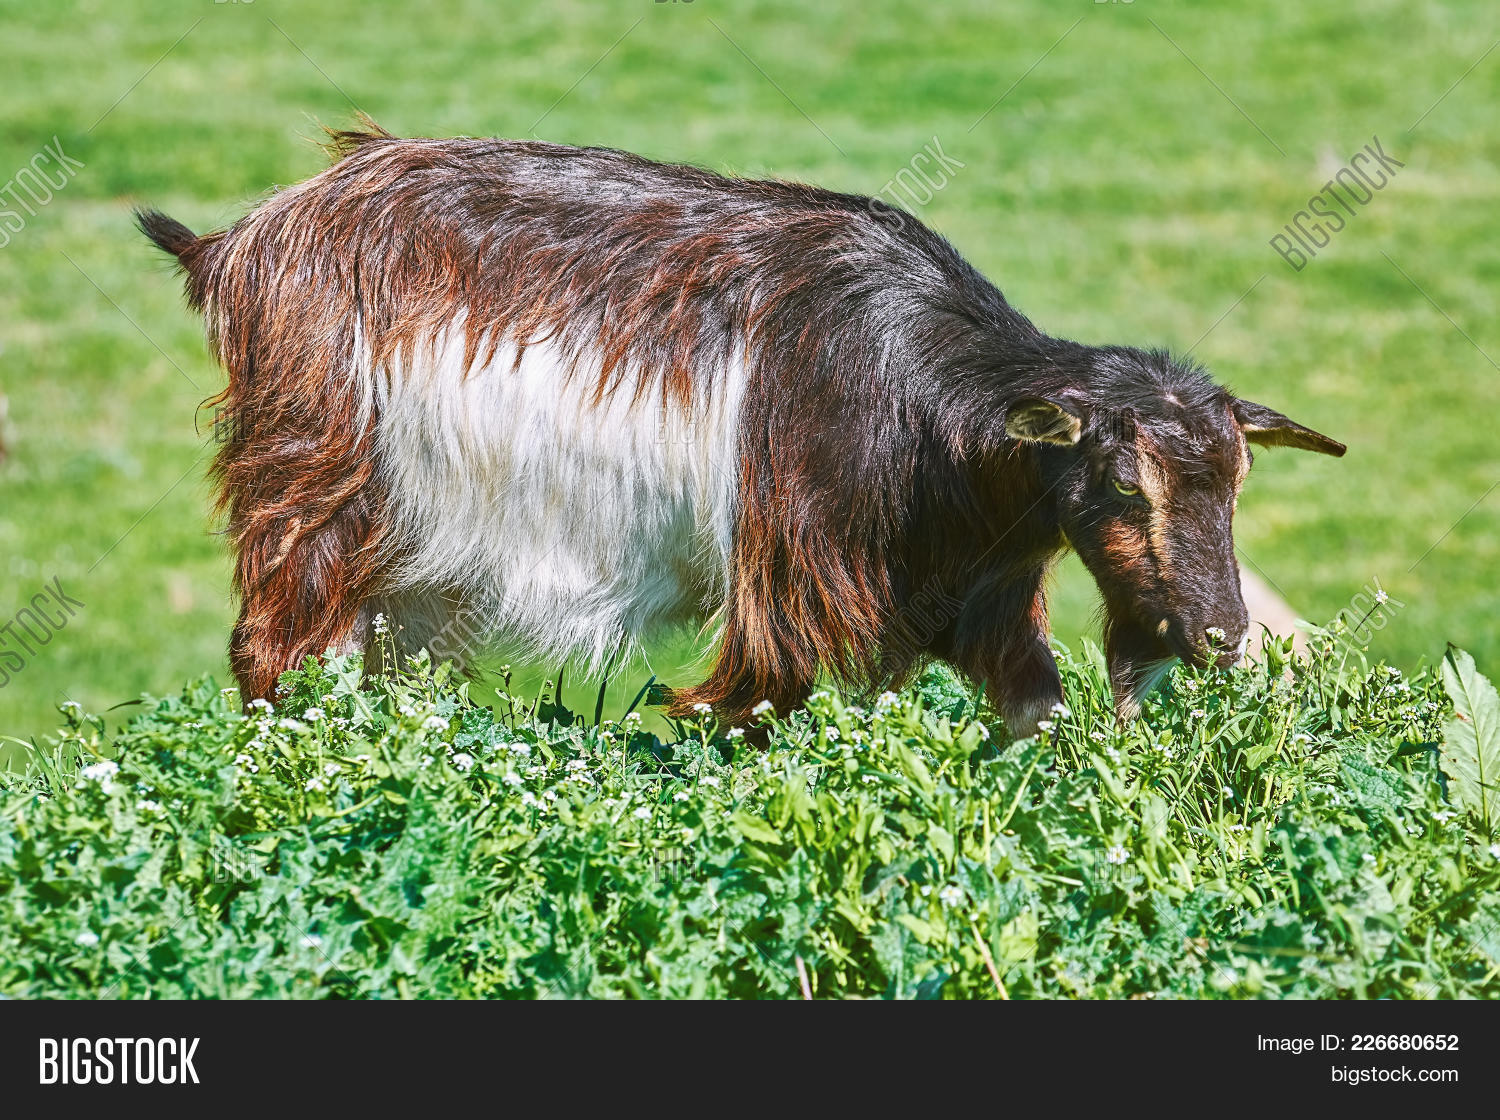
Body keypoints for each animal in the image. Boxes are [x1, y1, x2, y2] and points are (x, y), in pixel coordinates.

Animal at [138, 124, 1345, 735]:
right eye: (1125, 485)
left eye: (1236, 486)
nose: (1221, 634)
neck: (922, 400)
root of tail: (245, 241)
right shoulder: (789, 583)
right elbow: (750, 708)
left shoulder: (974, 592)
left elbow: (1035, 709)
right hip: (314, 477)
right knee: (272, 648)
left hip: (402, 561)